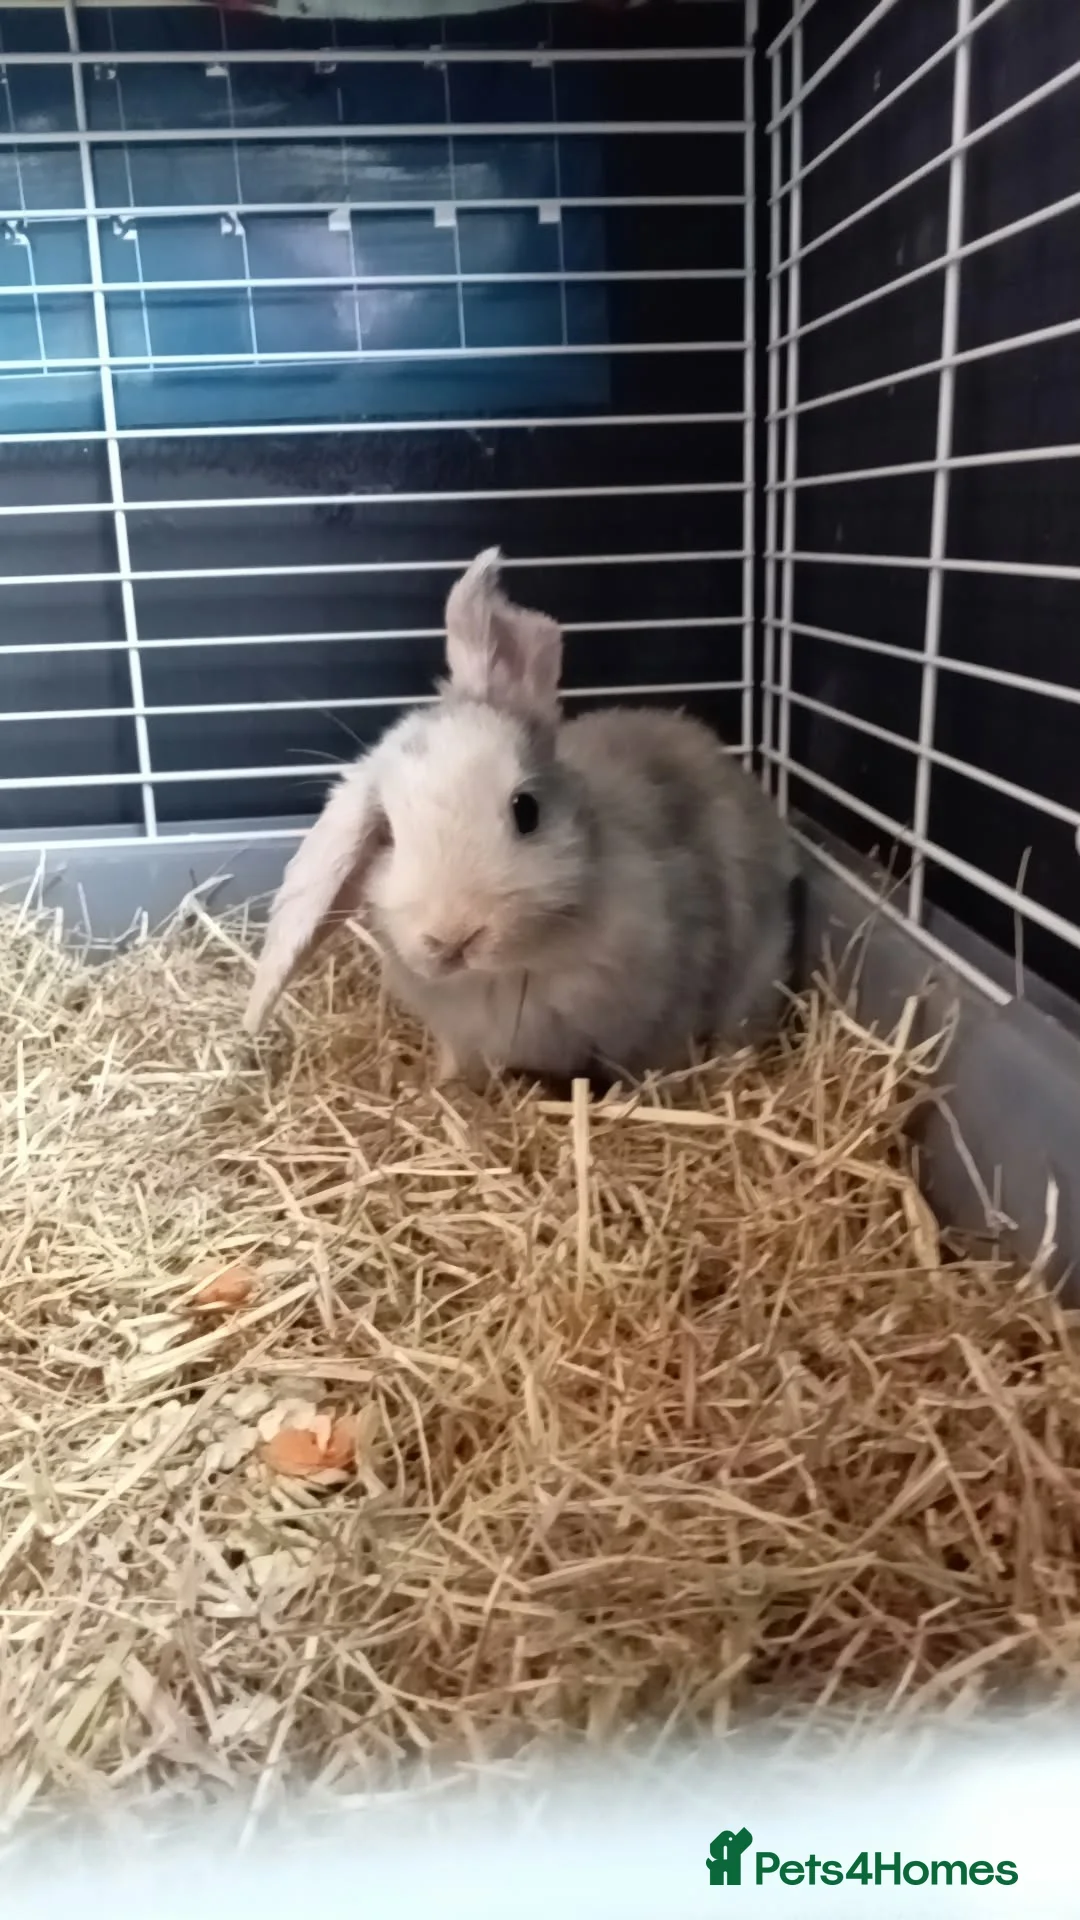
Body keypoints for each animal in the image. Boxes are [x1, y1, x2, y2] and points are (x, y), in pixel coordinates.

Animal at [243, 547, 799, 1088]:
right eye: (387, 836)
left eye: (526, 810)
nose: (452, 939)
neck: (512, 971)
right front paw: (440, 1090)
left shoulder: (665, 1011)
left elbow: (656, 1065)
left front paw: (665, 1092)